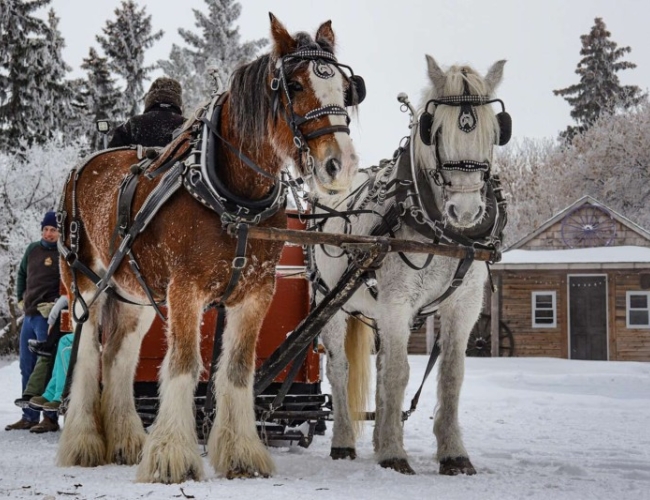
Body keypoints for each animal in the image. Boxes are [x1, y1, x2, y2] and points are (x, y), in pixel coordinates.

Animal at [55, 14, 360, 484]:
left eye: (346, 89)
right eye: (293, 85)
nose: (338, 165)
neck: (233, 199)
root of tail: (84, 166)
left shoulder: (255, 294)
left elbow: (235, 370)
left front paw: (241, 455)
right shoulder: (185, 291)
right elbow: (183, 365)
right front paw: (172, 458)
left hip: (135, 295)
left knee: (120, 356)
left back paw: (125, 441)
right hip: (85, 285)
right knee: (88, 353)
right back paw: (84, 442)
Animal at [312, 55, 508, 476]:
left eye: (495, 130)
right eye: (435, 130)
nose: (465, 210)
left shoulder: (464, 305)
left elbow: (450, 374)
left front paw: (453, 453)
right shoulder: (397, 302)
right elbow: (399, 373)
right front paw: (393, 452)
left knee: (382, 368)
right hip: (329, 302)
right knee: (340, 370)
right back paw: (344, 442)